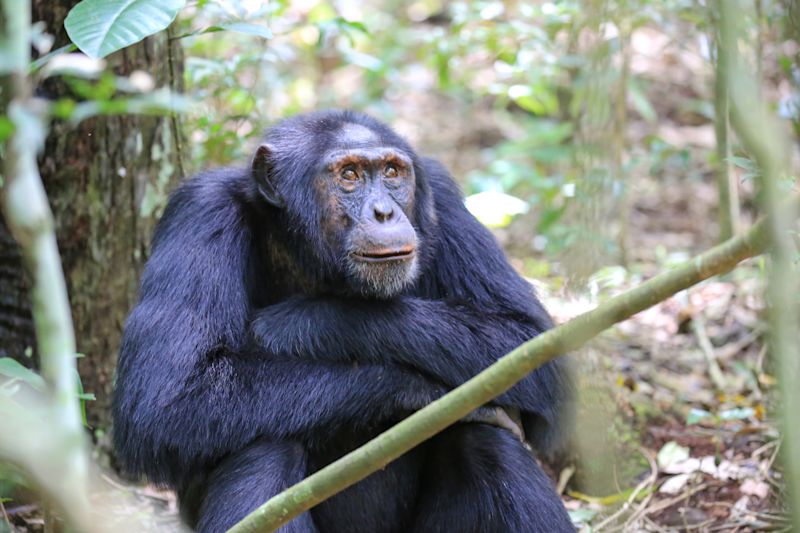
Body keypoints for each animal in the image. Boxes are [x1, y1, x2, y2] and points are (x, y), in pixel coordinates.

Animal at [112, 110, 576, 528]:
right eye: (349, 175)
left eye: (392, 172)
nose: (384, 212)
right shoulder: (200, 213)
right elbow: (167, 399)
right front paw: (422, 392)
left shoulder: (443, 199)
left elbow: (528, 342)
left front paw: (302, 320)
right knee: (263, 446)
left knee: (486, 439)